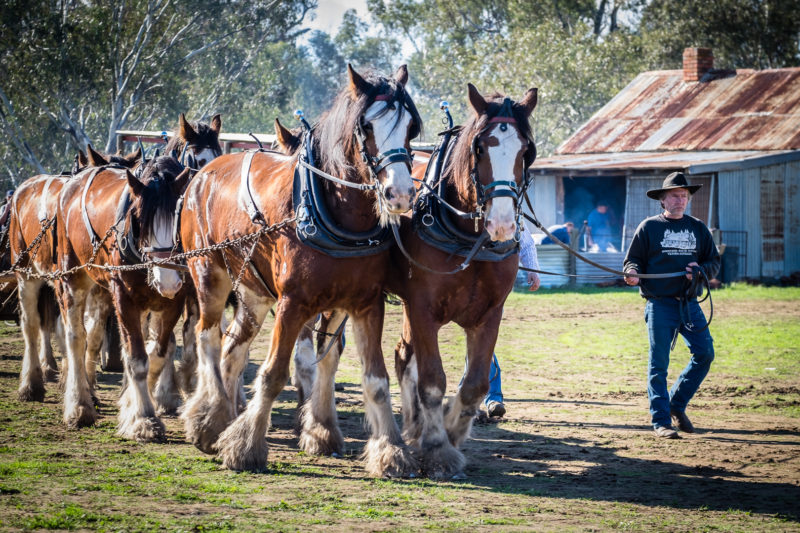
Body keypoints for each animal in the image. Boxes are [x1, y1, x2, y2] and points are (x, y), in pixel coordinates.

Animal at [54, 155, 191, 436]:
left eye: (178, 218)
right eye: (138, 219)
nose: (168, 280)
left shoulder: (173, 302)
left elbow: (157, 354)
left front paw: (132, 405)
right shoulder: (124, 300)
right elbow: (137, 359)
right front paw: (143, 418)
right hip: (72, 276)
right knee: (76, 338)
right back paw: (80, 405)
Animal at [179, 64, 422, 476]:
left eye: (410, 127)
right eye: (367, 127)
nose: (400, 194)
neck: (334, 211)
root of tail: (206, 172)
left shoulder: (363, 303)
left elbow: (372, 377)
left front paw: (387, 449)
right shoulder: (293, 304)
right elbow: (274, 373)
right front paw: (246, 446)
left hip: (254, 294)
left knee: (232, 347)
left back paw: (224, 414)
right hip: (209, 275)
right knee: (207, 338)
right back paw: (209, 419)